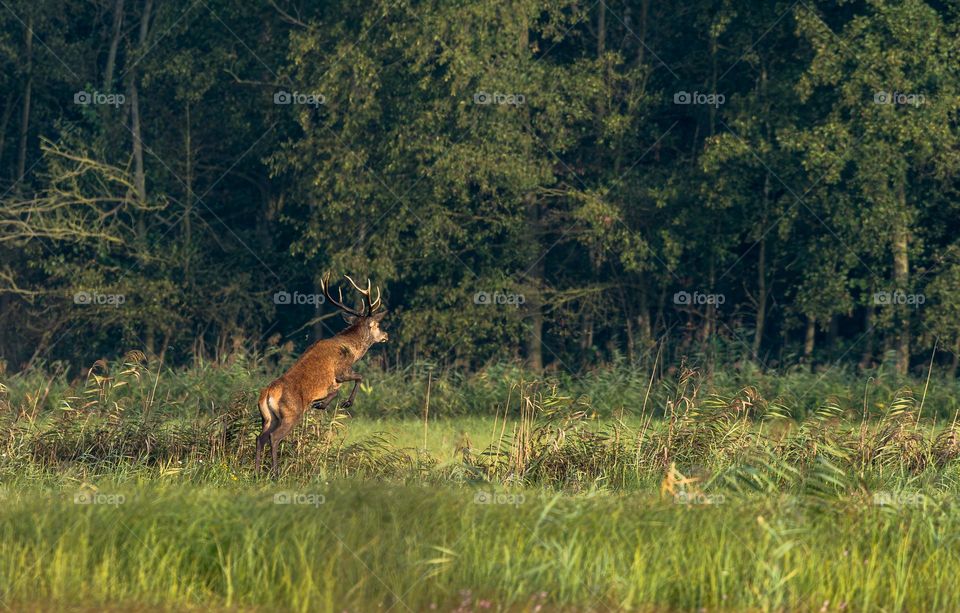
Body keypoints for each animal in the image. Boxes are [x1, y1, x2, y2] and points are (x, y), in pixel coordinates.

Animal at [255, 275, 388, 475]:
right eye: (378, 325)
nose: (386, 335)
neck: (352, 350)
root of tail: (268, 394)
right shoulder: (340, 372)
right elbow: (357, 378)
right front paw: (341, 403)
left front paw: (321, 404)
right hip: (291, 413)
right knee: (274, 437)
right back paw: (275, 472)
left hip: (269, 418)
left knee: (259, 438)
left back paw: (255, 472)